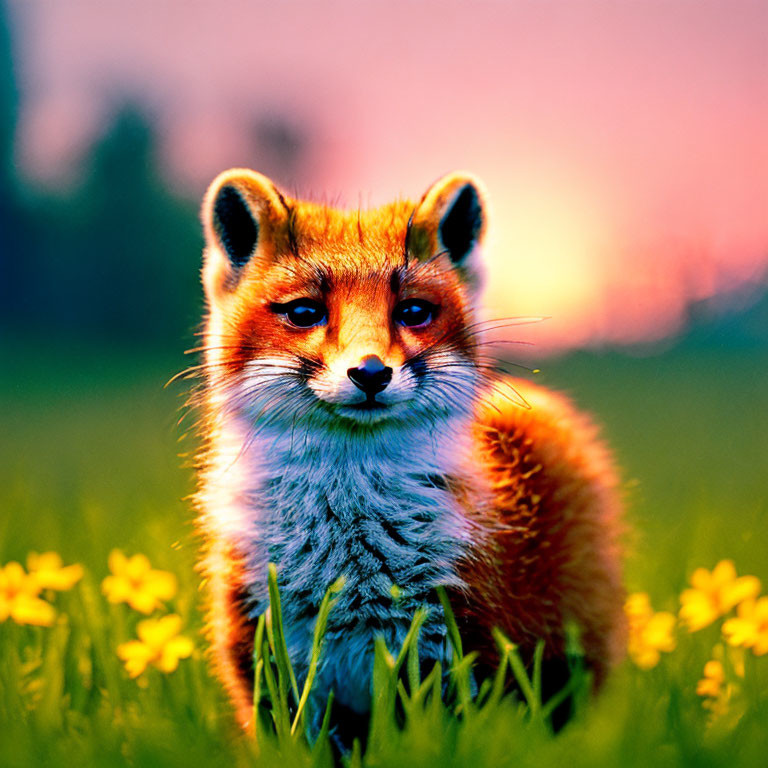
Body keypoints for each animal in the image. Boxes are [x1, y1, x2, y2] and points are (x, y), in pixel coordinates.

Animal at [190, 168, 624, 736]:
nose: (371, 372)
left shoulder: (453, 653)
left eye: (413, 312)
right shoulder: (272, 673)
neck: (347, 560)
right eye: (305, 313)